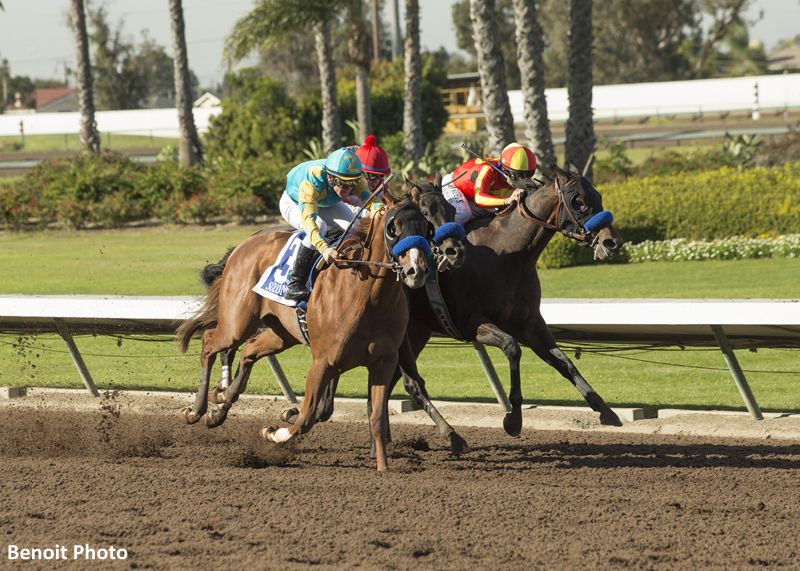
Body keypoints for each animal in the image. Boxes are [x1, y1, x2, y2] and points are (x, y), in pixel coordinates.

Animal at [176, 193, 433, 471]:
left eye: (426, 227)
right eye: (393, 228)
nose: (416, 270)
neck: (368, 296)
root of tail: (244, 244)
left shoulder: (383, 362)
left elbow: (376, 418)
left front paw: (383, 468)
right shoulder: (323, 361)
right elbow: (306, 418)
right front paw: (272, 432)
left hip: (281, 333)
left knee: (249, 352)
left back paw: (220, 404)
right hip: (237, 324)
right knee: (210, 343)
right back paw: (196, 410)